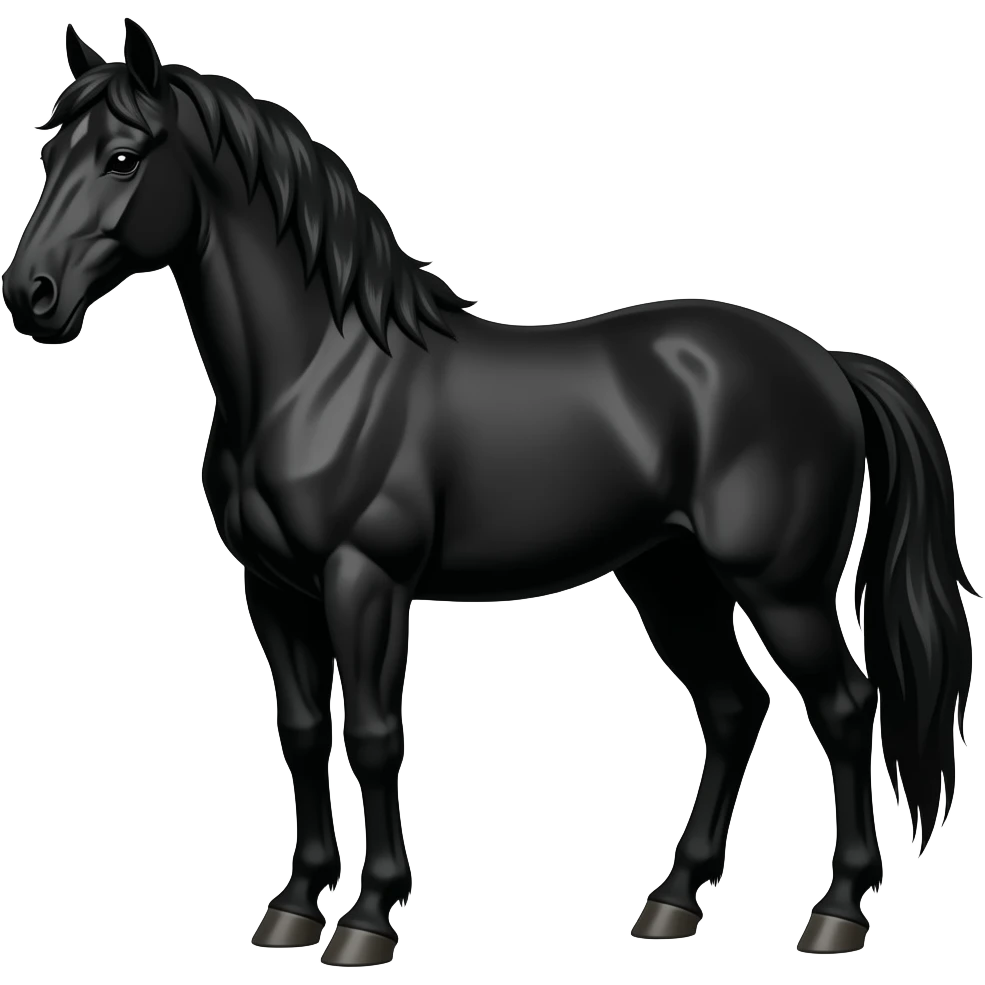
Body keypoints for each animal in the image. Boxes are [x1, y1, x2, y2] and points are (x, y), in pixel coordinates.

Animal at [2, 19, 978, 966]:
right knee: (733, 708)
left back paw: (834, 914)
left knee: (844, 709)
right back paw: (671, 902)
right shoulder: (274, 590)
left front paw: (367, 919)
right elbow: (303, 731)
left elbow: (373, 736)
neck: (319, 372)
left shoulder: (366, 581)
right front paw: (291, 907)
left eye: (123, 156)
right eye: (48, 157)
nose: (30, 295)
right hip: (671, 577)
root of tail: (825, 362)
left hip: (781, 588)